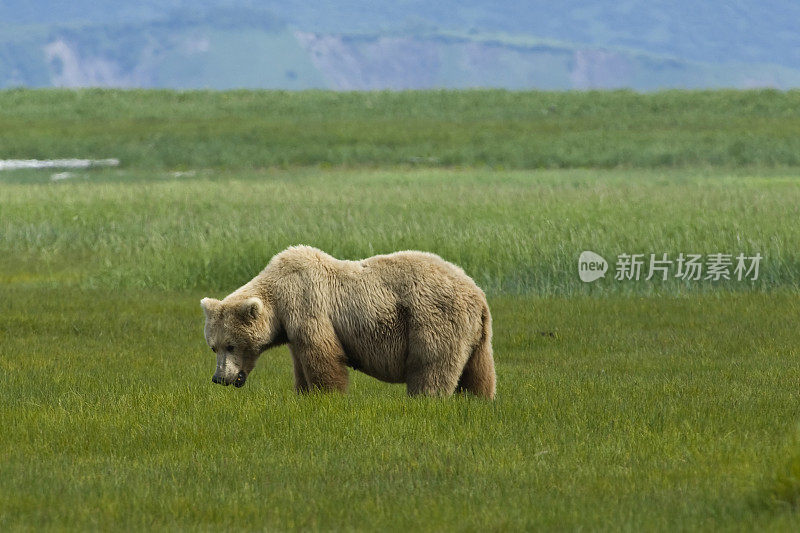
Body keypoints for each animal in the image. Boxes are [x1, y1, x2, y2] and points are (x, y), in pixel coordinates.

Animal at [200, 244, 494, 394]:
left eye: (231, 345)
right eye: (213, 347)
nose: (219, 378)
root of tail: (478, 293)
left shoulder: (307, 305)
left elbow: (322, 358)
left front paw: (327, 397)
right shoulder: (292, 329)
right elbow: (301, 365)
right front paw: (303, 393)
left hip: (433, 319)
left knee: (431, 367)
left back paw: (425, 398)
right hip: (477, 337)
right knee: (478, 374)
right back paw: (476, 399)